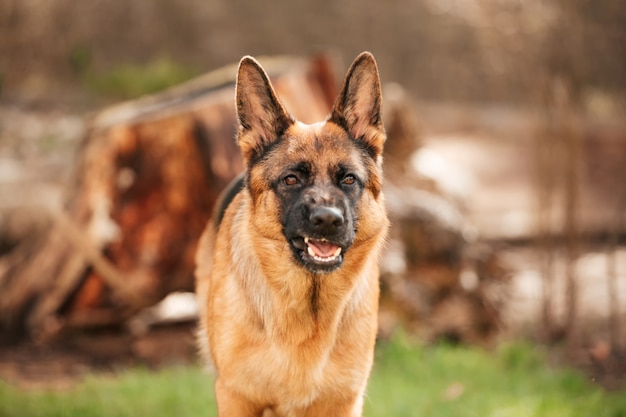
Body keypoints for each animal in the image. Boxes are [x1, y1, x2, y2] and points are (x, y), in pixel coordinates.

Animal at [195, 52, 388, 416]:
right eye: (291, 179)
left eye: (349, 179)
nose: (327, 220)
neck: (309, 309)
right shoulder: (236, 397)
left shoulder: (344, 403)